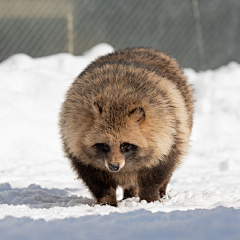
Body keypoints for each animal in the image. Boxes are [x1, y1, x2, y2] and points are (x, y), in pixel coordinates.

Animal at [59, 47, 194, 206]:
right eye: (104, 145)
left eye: (125, 145)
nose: (114, 166)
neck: (118, 97)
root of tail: (139, 48)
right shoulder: (77, 145)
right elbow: (98, 182)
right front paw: (106, 201)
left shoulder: (168, 137)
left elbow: (155, 176)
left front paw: (150, 199)